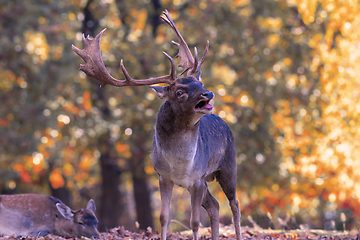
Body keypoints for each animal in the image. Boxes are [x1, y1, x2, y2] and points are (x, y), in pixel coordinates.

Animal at [71, 9, 242, 240]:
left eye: (200, 83)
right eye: (180, 91)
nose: (208, 93)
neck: (181, 165)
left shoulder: (196, 179)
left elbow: (194, 222)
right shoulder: (164, 177)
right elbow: (163, 217)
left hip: (228, 165)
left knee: (235, 204)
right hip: (209, 178)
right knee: (215, 205)